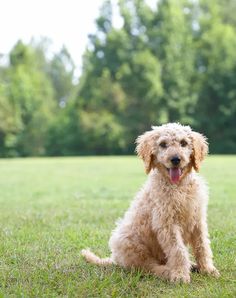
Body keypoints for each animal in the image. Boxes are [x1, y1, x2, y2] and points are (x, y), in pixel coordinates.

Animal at [82, 123, 220, 282]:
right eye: (163, 144)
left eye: (184, 143)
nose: (175, 159)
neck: (178, 186)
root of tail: (115, 258)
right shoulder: (166, 223)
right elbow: (178, 250)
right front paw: (180, 275)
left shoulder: (198, 220)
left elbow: (202, 245)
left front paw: (207, 269)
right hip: (132, 246)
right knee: (148, 267)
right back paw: (167, 271)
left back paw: (192, 266)